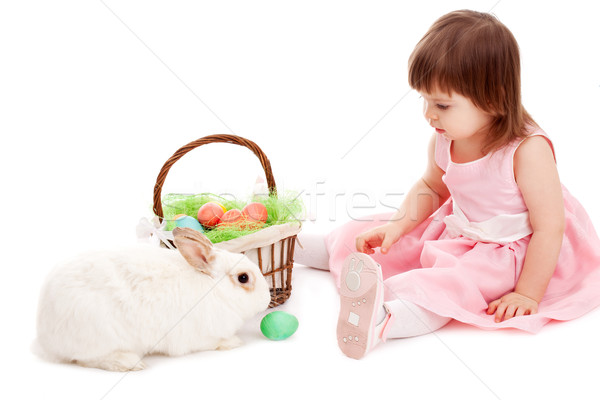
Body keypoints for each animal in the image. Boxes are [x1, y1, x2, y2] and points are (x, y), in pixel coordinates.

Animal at [36, 228, 270, 372]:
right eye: (243, 278)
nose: (267, 299)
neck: (215, 289)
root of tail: (44, 337)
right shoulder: (197, 337)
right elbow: (214, 342)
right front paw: (233, 342)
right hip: (100, 335)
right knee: (88, 359)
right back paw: (130, 363)